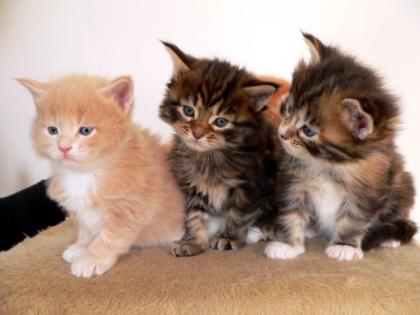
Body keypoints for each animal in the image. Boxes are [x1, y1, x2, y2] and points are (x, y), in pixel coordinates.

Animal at [18, 75, 185, 278]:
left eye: (85, 131)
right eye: (52, 130)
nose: (64, 147)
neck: (85, 173)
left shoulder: (131, 209)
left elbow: (109, 237)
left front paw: (92, 259)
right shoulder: (80, 211)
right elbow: (86, 227)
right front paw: (81, 247)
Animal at [159, 42, 280, 258]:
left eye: (221, 122)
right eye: (189, 110)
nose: (197, 133)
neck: (210, 156)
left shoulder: (251, 184)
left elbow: (239, 213)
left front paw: (229, 236)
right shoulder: (191, 184)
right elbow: (194, 215)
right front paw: (192, 241)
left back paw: (270, 226)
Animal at [264, 34, 416, 262]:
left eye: (308, 130)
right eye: (287, 109)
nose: (281, 134)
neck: (330, 163)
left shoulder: (367, 189)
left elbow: (354, 220)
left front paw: (344, 246)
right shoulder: (292, 182)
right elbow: (291, 212)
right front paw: (289, 245)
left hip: (402, 184)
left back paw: (390, 238)